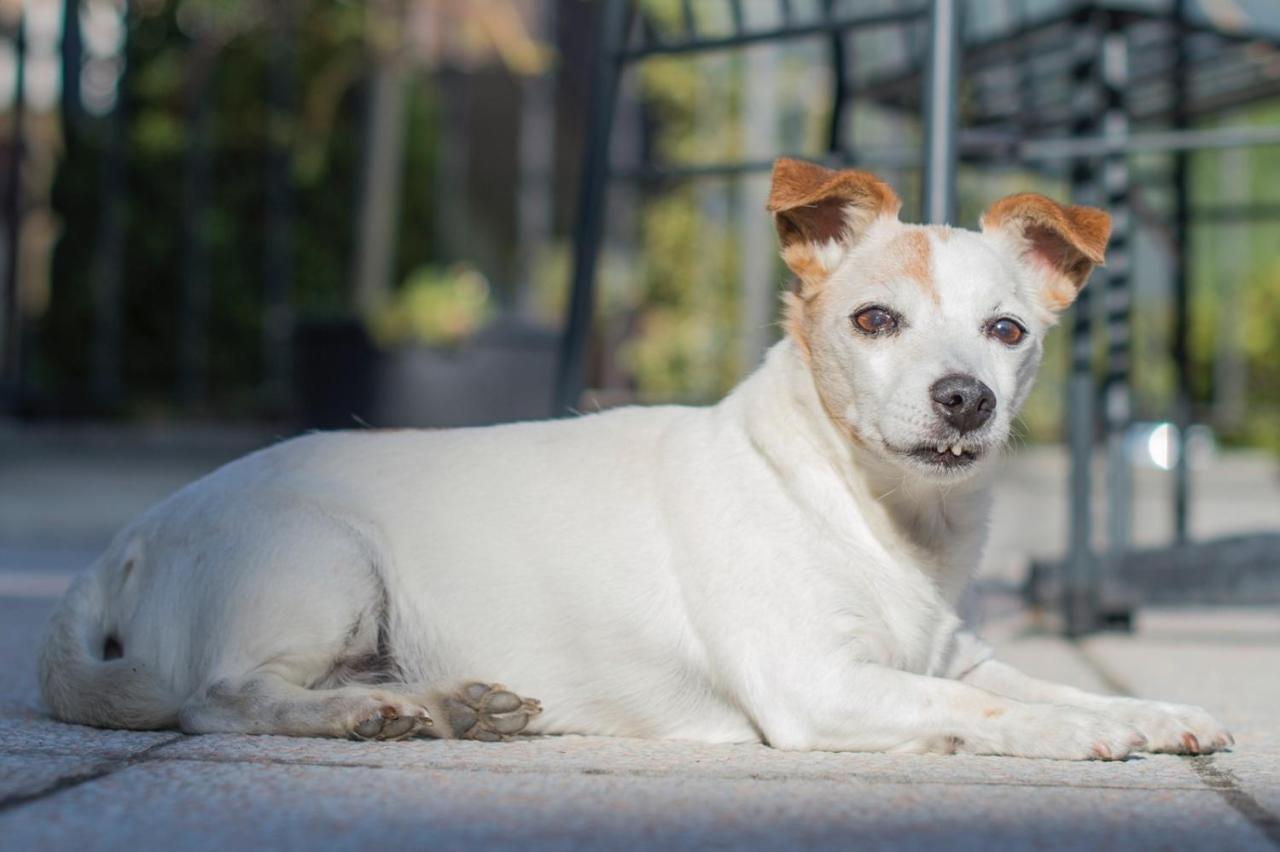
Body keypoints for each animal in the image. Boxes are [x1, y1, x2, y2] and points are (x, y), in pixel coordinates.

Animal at [37, 159, 1228, 757]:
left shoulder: (956, 659)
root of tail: (129, 539)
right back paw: (368, 715)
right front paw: (1078, 736)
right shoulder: (818, 684)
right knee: (220, 698)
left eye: (1007, 332)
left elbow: (1039, 689)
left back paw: (451, 706)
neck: (869, 515)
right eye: (875, 320)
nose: (963, 399)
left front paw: (1149, 714)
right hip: (324, 563)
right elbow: (996, 715)